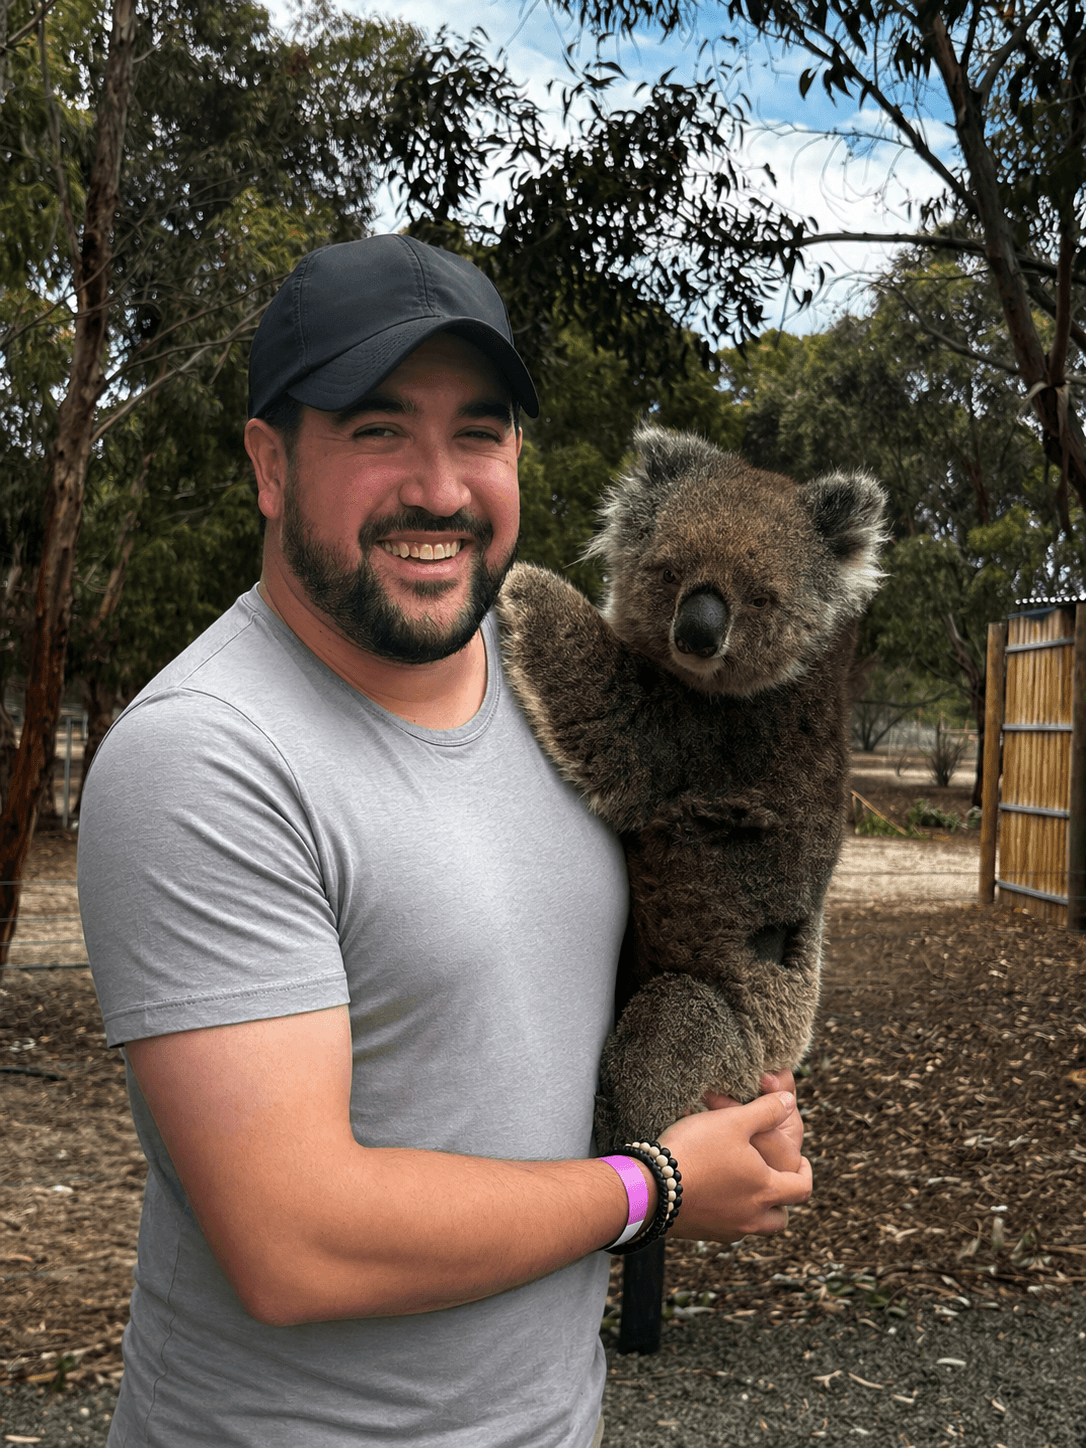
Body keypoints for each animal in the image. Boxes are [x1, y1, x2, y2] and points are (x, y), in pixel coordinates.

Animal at [496, 424, 886, 1152]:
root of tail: (775, 1061)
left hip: (724, 1047)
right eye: (669, 572)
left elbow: (614, 720)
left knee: (669, 1032)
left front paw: (522, 578)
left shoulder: (711, 742)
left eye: (760, 597)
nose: (698, 633)